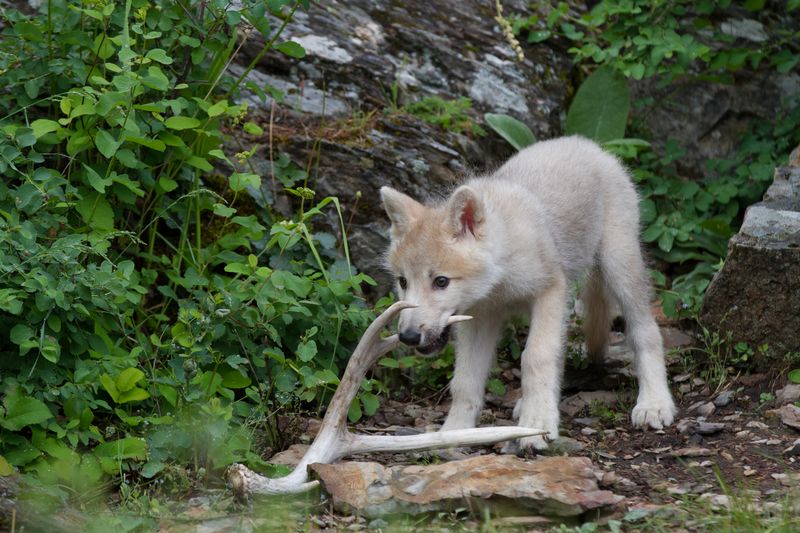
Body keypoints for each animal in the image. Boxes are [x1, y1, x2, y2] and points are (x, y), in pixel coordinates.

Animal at [380, 135, 677, 451]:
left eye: (441, 281)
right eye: (403, 281)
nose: (408, 337)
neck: (501, 271)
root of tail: (586, 143)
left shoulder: (551, 291)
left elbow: (535, 356)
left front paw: (536, 427)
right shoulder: (480, 317)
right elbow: (464, 380)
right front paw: (454, 433)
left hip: (619, 266)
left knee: (646, 331)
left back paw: (654, 403)